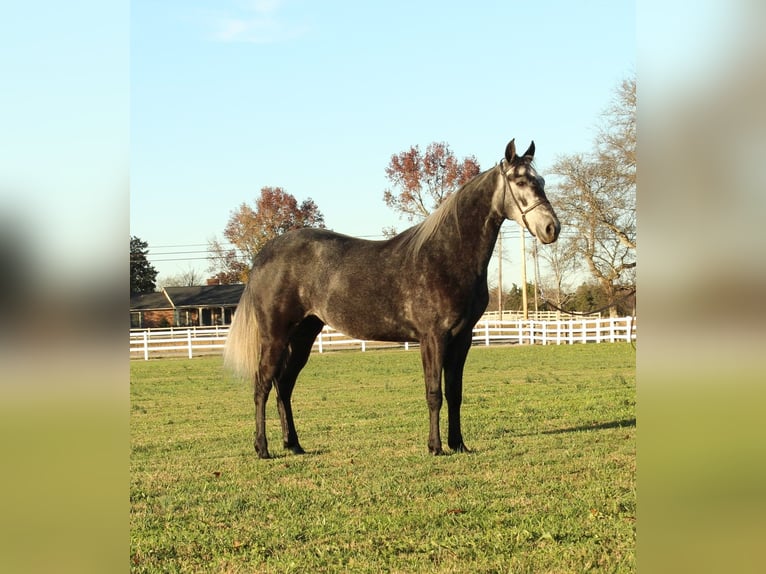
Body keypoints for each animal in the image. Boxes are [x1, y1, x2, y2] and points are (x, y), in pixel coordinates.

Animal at [225, 140, 560, 460]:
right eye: (520, 181)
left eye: (541, 180)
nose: (551, 228)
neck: (446, 254)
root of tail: (264, 255)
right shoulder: (433, 338)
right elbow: (434, 393)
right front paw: (435, 447)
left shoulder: (462, 338)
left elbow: (455, 393)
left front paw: (458, 445)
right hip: (275, 336)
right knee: (262, 385)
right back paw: (262, 449)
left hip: (304, 335)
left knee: (284, 386)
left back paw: (293, 445)